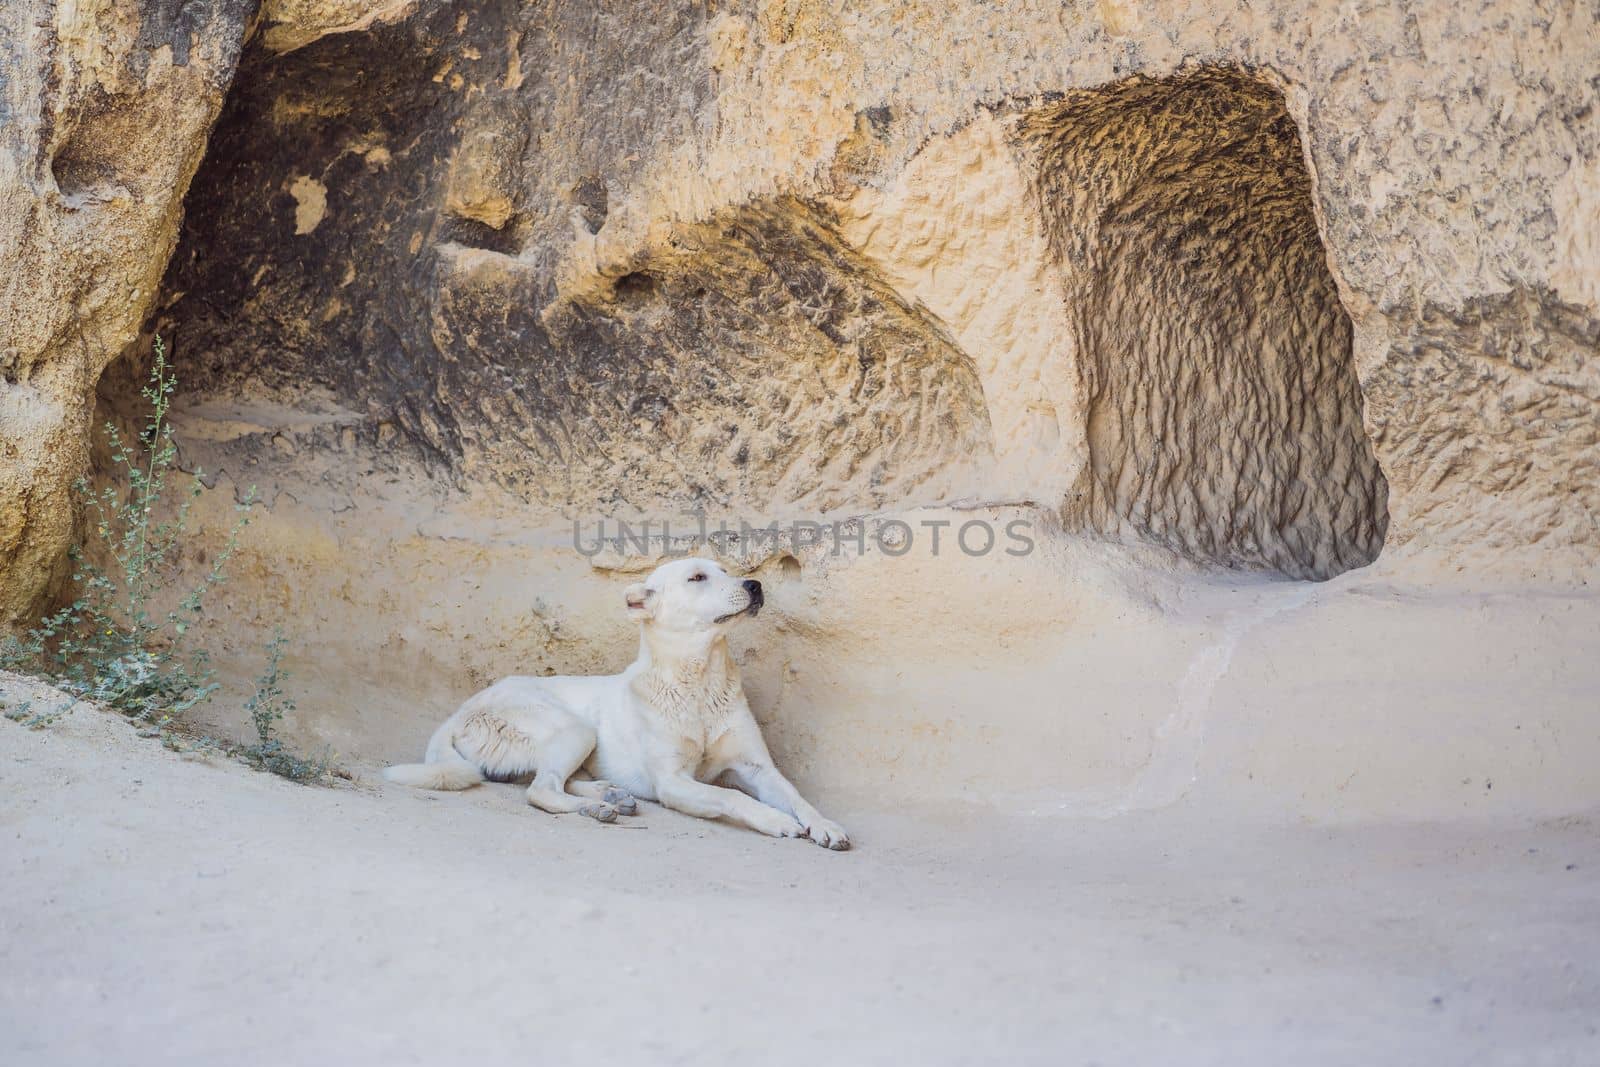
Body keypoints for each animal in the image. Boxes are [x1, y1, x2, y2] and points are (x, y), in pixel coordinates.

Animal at [385, 559, 851, 851]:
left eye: (726, 571)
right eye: (698, 577)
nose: (754, 585)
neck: (699, 680)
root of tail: (460, 711)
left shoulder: (758, 769)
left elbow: (798, 798)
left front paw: (825, 825)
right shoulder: (673, 783)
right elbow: (735, 797)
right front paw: (776, 821)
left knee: (553, 780)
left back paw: (609, 795)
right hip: (574, 727)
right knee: (542, 790)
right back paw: (596, 806)